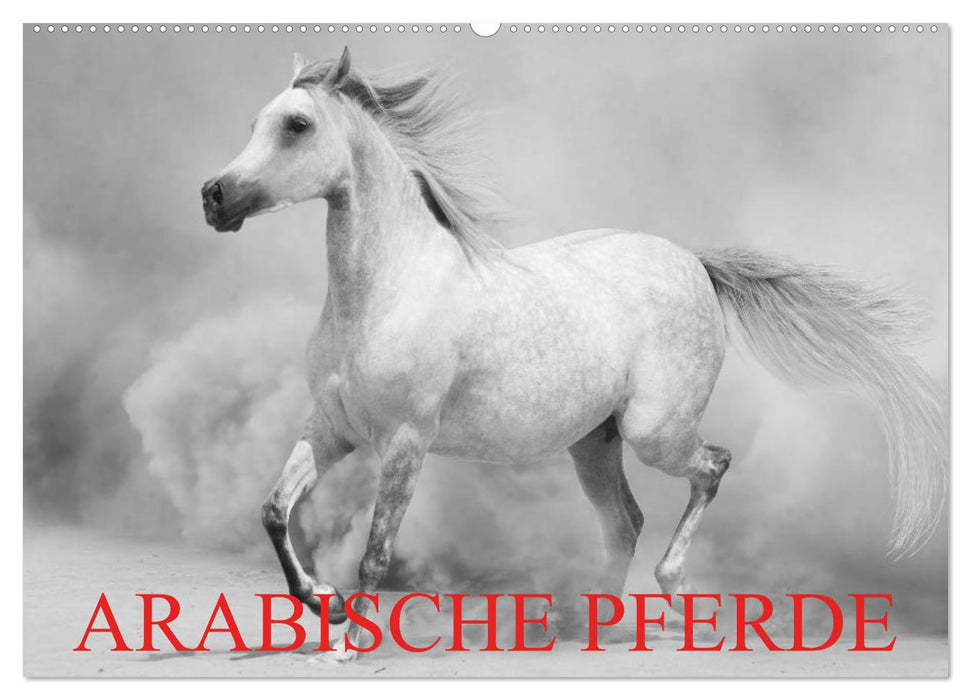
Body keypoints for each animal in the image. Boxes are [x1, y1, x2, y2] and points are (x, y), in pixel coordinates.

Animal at [201, 48, 946, 659]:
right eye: (254, 122)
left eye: (297, 125)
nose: (213, 197)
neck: (388, 291)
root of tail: (695, 264)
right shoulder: (332, 430)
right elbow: (274, 510)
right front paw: (322, 606)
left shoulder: (405, 443)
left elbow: (376, 552)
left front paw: (349, 643)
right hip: (594, 442)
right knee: (625, 521)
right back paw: (596, 625)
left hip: (653, 433)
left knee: (711, 468)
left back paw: (669, 592)